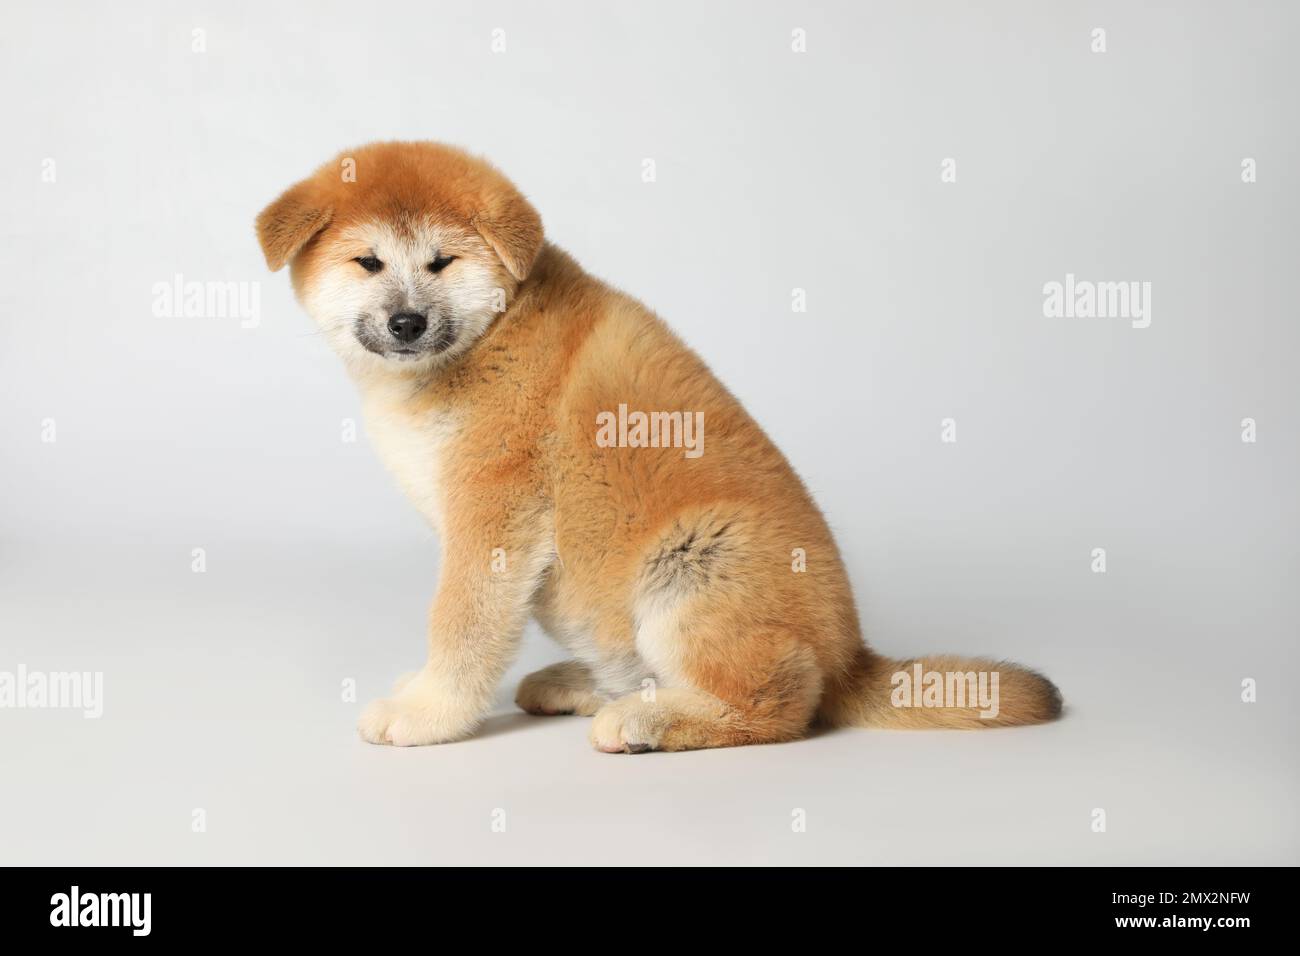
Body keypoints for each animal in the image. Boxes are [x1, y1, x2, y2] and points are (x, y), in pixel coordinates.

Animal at [258, 143, 1060, 754]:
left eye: (441, 262)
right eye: (368, 262)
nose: (407, 322)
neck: (491, 333)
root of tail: (851, 657)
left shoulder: (495, 512)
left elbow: (462, 622)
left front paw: (429, 712)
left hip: (693, 565)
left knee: (782, 700)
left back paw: (650, 722)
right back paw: (588, 687)